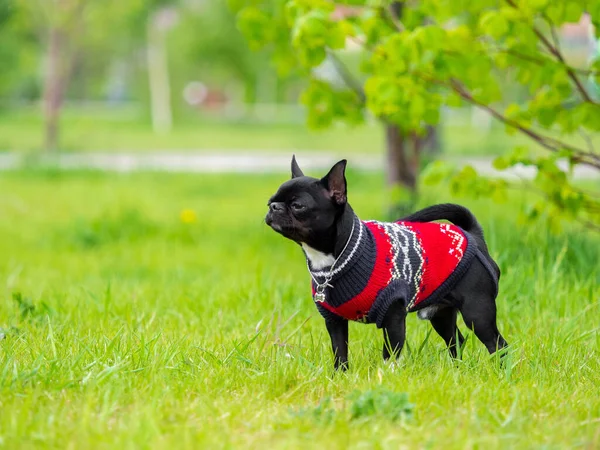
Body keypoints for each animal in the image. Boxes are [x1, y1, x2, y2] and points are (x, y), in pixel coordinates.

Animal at [264, 156, 508, 370]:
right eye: (270, 202)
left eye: (298, 206)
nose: (274, 207)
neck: (335, 258)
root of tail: (473, 236)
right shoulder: (334, 321)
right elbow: (340, 353)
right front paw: (339, 377)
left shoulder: (393, 316)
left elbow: (390, 354)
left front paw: (385, 377)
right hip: (441, 314)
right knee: (456, 340)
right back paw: (456, 370)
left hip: (477, 312)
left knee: (498, 344)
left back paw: (501, 372)